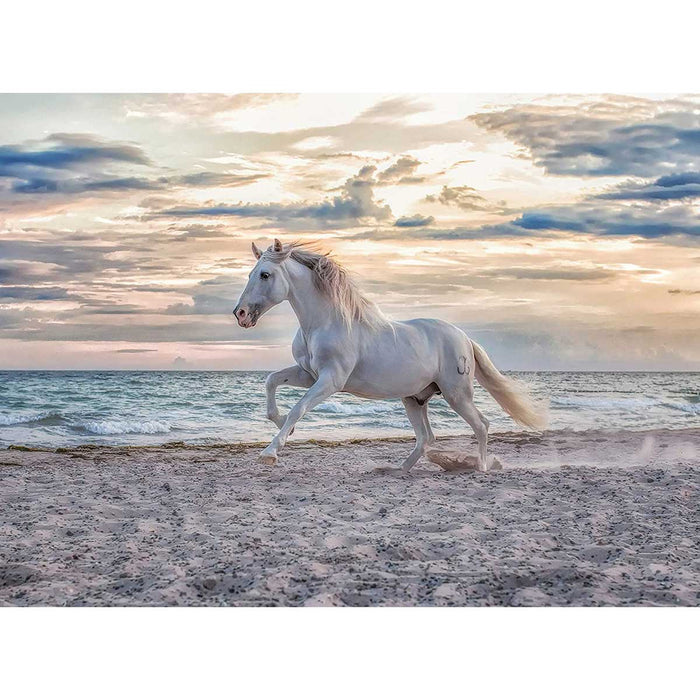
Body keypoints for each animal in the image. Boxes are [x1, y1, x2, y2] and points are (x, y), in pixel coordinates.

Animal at [233, 239, 547, 470]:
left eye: (265, 274)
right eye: (250, 274)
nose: (241, 314)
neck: (325, 322)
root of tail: (464, 338)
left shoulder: (331, 380)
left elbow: (298, 408)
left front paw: (271, 452)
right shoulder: (308, 374)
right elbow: (272, 382)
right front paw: (281, 425)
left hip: (456, 394)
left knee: (481, 425)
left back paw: (480, 467)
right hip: (414, 399)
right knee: (426, 437)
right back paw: (398, 469)